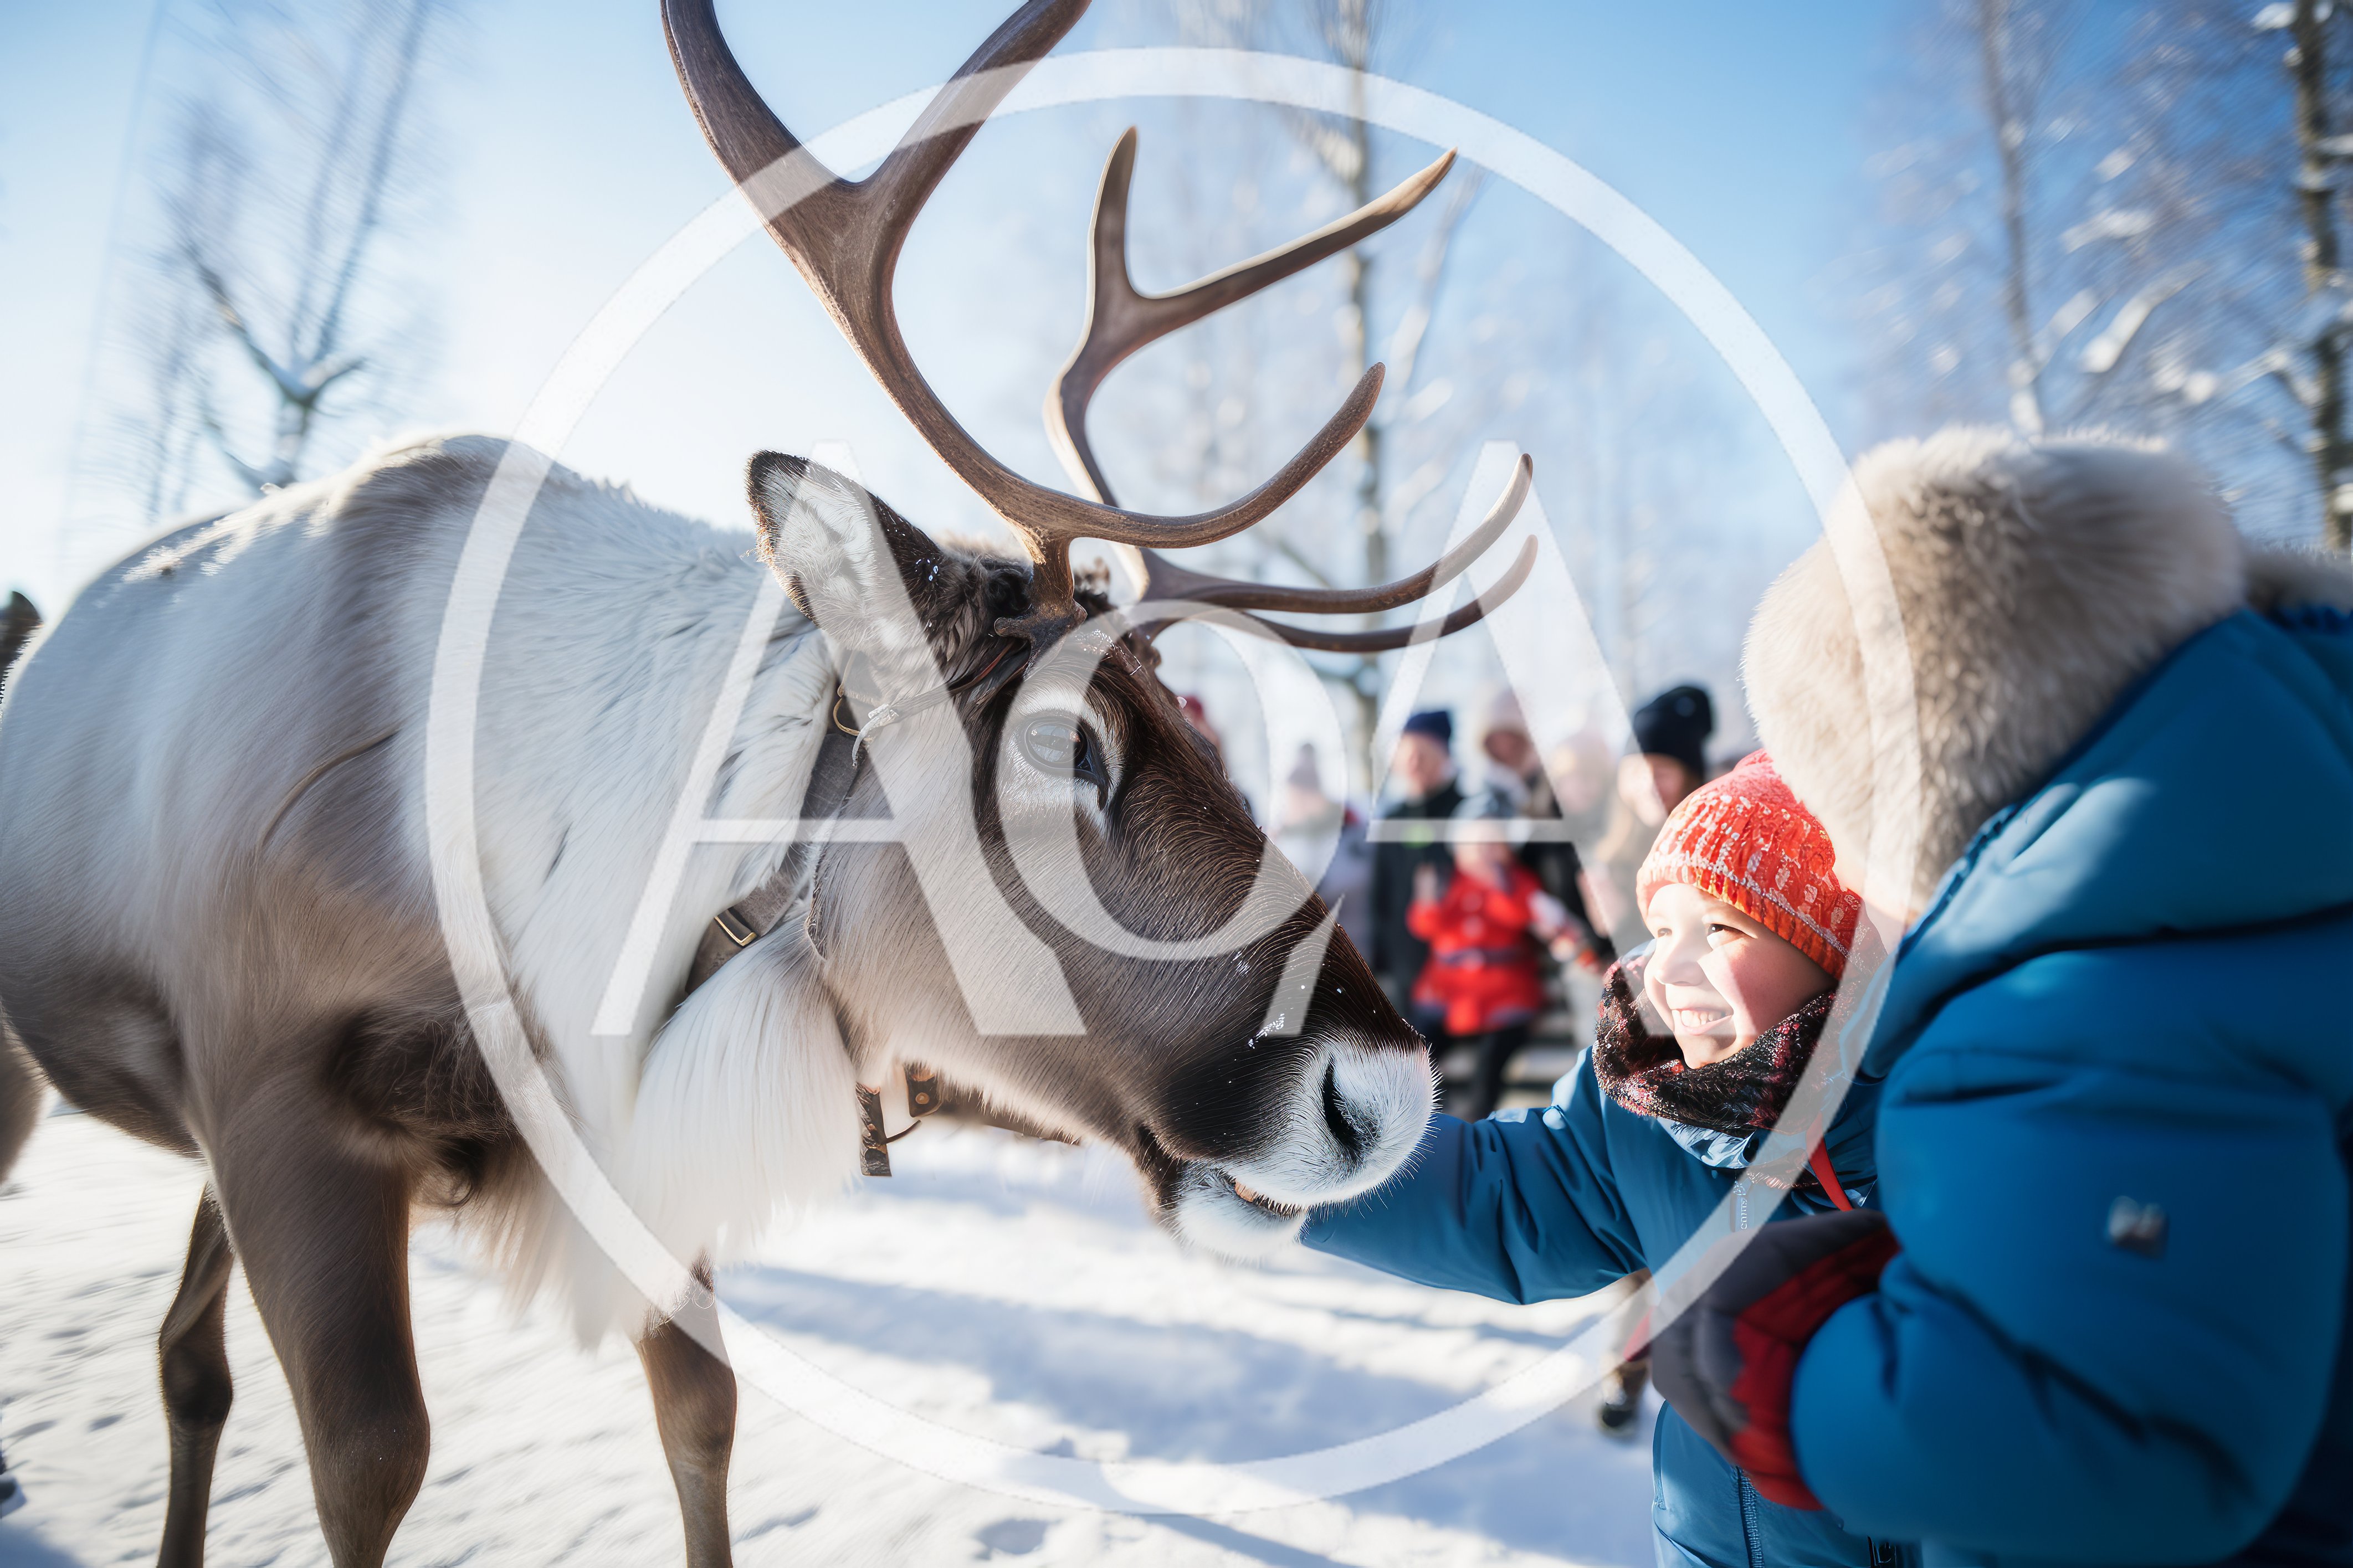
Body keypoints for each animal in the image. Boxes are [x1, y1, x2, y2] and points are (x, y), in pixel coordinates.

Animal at [0, 2, 1542, 1563]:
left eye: (1190, 718)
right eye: (1061, 743)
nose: (1386, 1099)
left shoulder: (623, 1125)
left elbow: (703, 1413)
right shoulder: (276, 1111)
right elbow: (373, 1462)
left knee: (184, 1356)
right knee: (189, 1353)